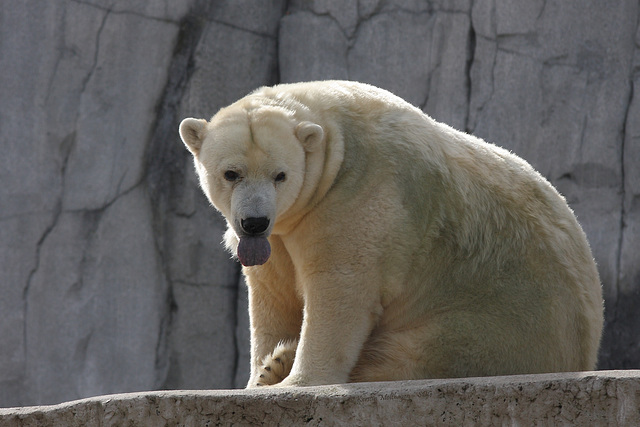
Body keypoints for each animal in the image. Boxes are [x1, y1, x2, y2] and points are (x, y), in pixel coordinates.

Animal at [180, 80, 604, 388]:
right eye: (231, 173)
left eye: (280, 175)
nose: (254, 222)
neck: (335, 149)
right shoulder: (281, 234)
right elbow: (273, 294)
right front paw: (260, 375)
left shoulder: (360, 197)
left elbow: (341, 288)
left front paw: (296, 380)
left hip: (489, 326)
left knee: (413, 356)